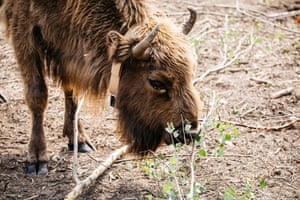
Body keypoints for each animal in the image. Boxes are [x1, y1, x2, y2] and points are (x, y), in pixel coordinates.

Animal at [0, 0, 202, 175]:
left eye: (191, 72)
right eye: (156, 82)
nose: (190, 133)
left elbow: (71, 90)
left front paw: (79, 140)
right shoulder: (24, 30)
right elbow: (37, 94)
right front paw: (37, 160)